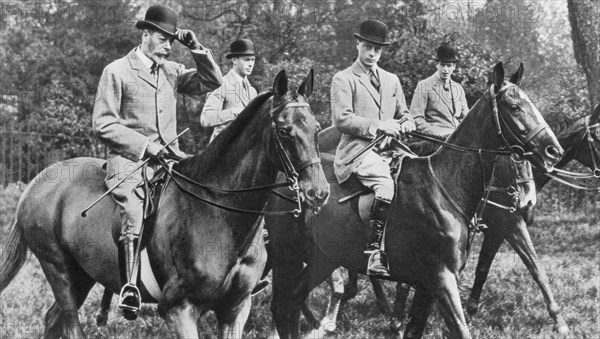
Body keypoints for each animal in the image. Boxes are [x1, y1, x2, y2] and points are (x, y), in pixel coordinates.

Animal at [0, 70, 328, 338]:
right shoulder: (179, 309)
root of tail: (37, 182)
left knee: (52, 319)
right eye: (284, 131)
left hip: (82, 275)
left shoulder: (235, 309)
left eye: (315, 128)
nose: (319, 191)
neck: (218, 211)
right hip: (59, 270)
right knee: (69, 325)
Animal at [266, 63, 564, 339]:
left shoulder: (427, 287)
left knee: (292, 302)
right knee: (282, 304)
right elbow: (460, 329)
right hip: (287, 258)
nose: (554, 151)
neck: (444, 187)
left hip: (324, 258)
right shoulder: (441, 279)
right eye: (514, 107)